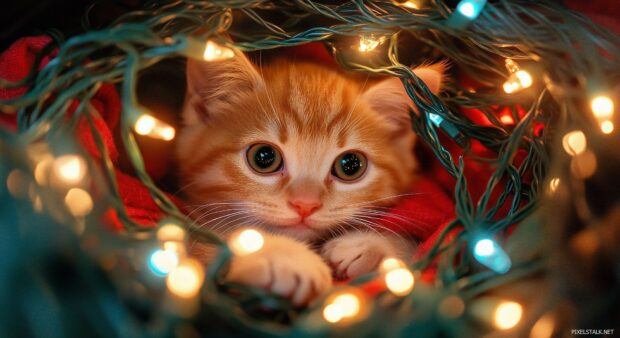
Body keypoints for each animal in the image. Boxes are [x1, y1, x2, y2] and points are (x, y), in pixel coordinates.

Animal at [177, 50, 444, 306]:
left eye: (350, 166)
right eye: (264, 157)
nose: (305, 205)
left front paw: (371, 245)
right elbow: (202, 247)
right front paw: (286, 257)